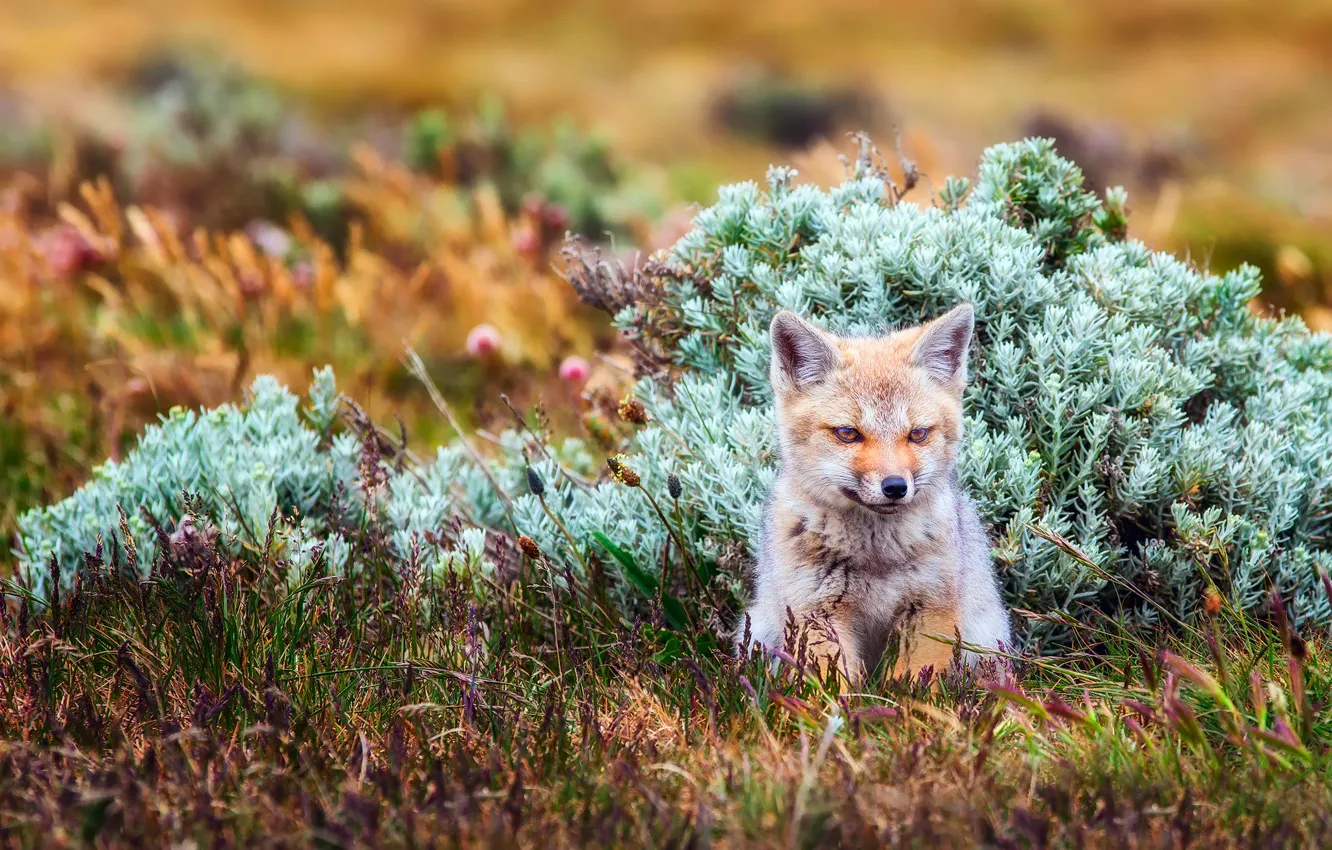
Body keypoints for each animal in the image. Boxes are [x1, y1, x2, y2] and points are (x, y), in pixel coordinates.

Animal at [742, 303, 1010, 684]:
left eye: (917, 434)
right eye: (847, 433)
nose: (895, 486)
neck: (876, 557)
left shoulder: (929, 610)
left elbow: (915, 687)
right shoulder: (818, 612)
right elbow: (833, 688)